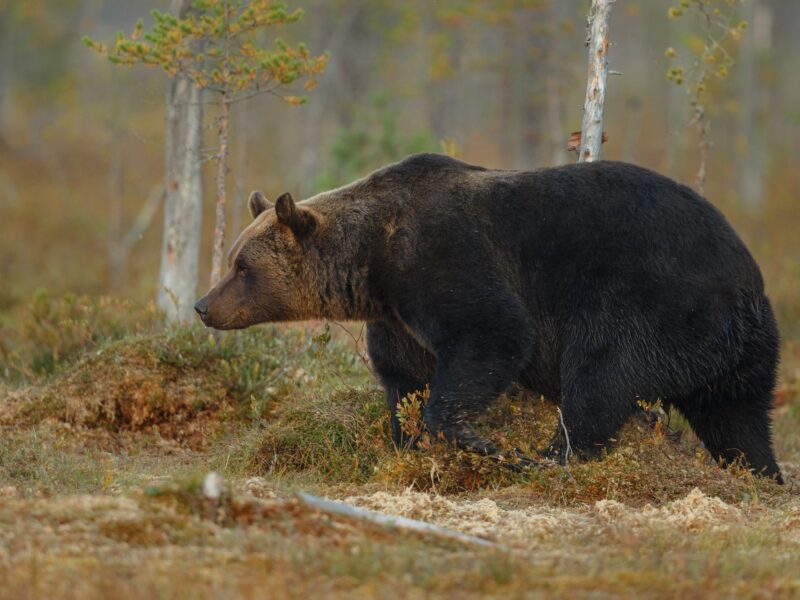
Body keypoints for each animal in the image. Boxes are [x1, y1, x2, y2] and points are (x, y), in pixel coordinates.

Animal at [194, 155, 780, 482]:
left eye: (242, 266)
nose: (203, 305)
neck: (373, 263)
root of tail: (746, 281)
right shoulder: (398, 318)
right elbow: (403, 380)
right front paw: (407, 443)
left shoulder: (445, 259)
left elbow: (493, 335)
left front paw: (480, 442)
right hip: (737, 349)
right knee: (738, 417)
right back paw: (762, 476)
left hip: (650, 301)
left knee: (600, 377)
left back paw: (550, 458)